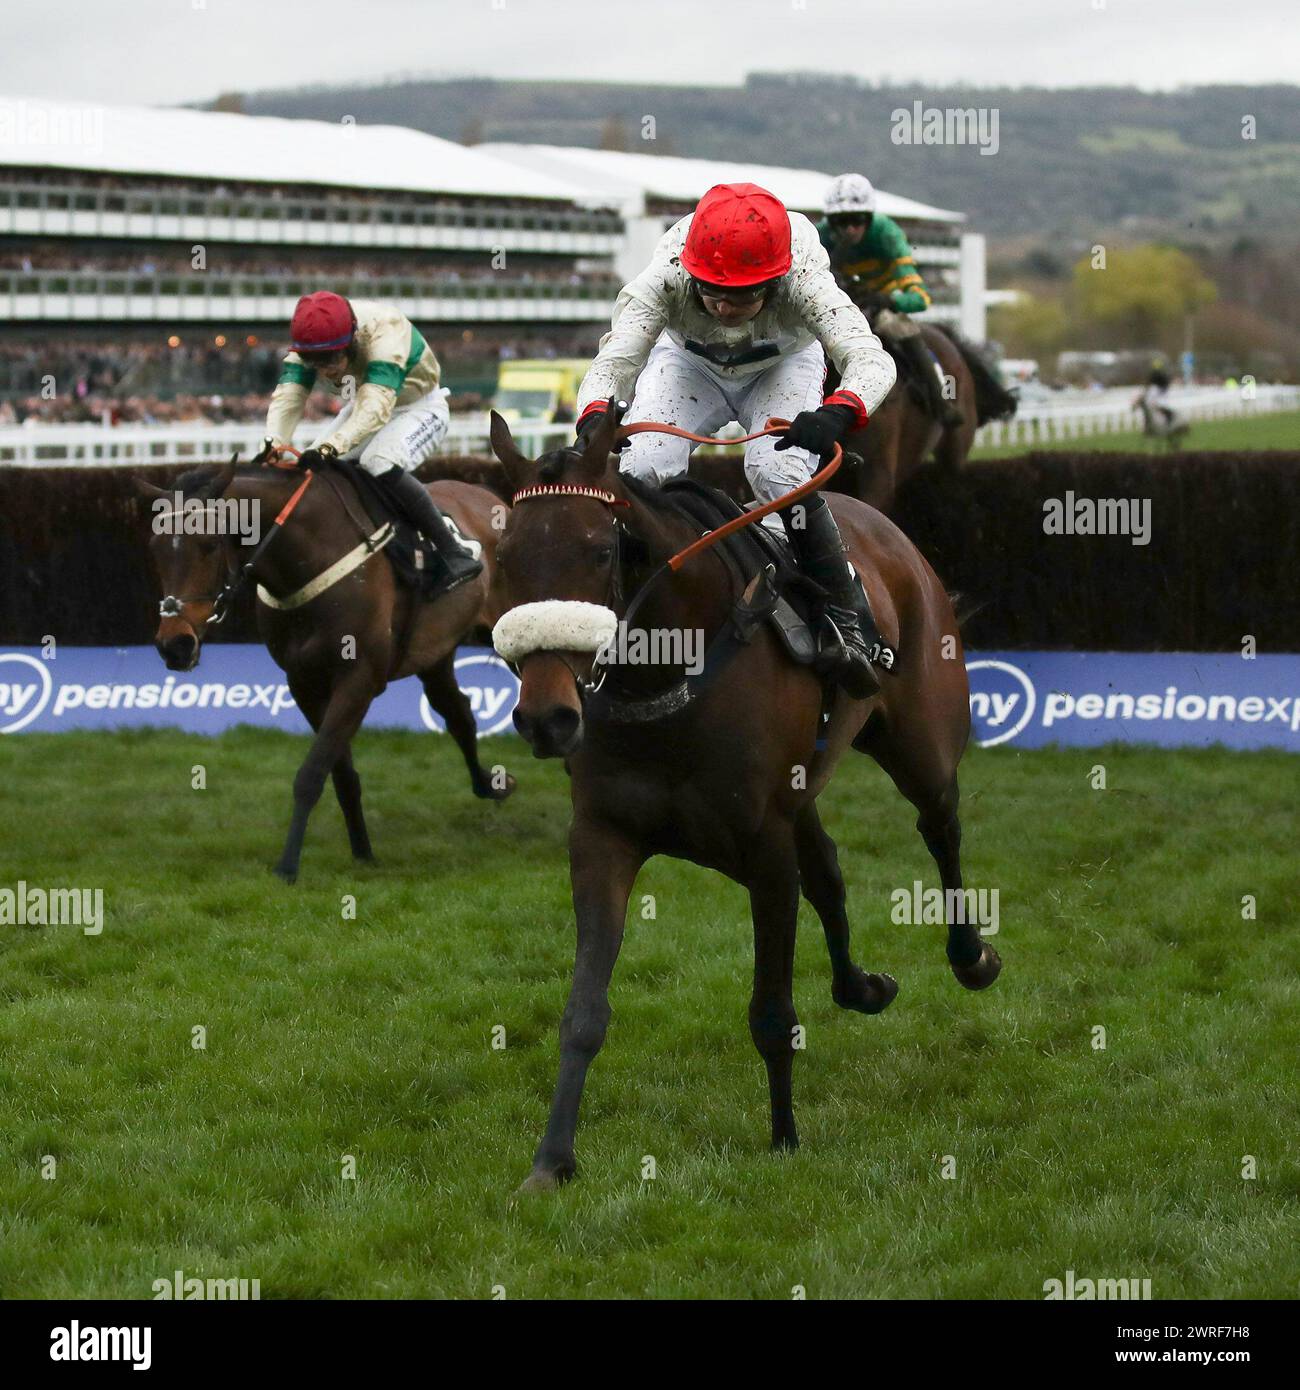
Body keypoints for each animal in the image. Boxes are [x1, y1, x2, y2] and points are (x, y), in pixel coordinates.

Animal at [489, 397, 1006, 1189]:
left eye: (600, 551)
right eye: (508, 557)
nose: (547, 718)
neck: (669, 671)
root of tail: (884, 527)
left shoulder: (763, 846)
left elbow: (770, 1007)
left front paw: (784, 1137)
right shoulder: (604, 836)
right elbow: (583, 1010)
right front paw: (551, 1160)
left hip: (920, 740)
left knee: (940, 828)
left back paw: (970, 956)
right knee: (829, 873)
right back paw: (861, 986)